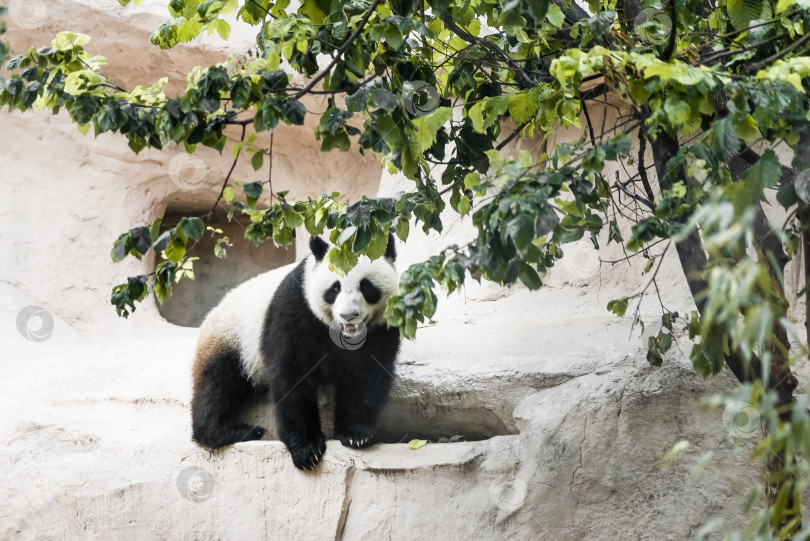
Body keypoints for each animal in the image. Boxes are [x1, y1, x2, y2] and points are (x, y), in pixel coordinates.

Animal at [193, 235, 400, 468]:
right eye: (335, 288)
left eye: (366, 286)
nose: (348, 316)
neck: (344, 336)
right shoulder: (295, 309)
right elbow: (291, 377)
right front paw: (307, 449)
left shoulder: (381, 329)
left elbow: (365, 376)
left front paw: (356, 434)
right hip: (233, 338)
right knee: (219, 383)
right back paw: (230, 432)